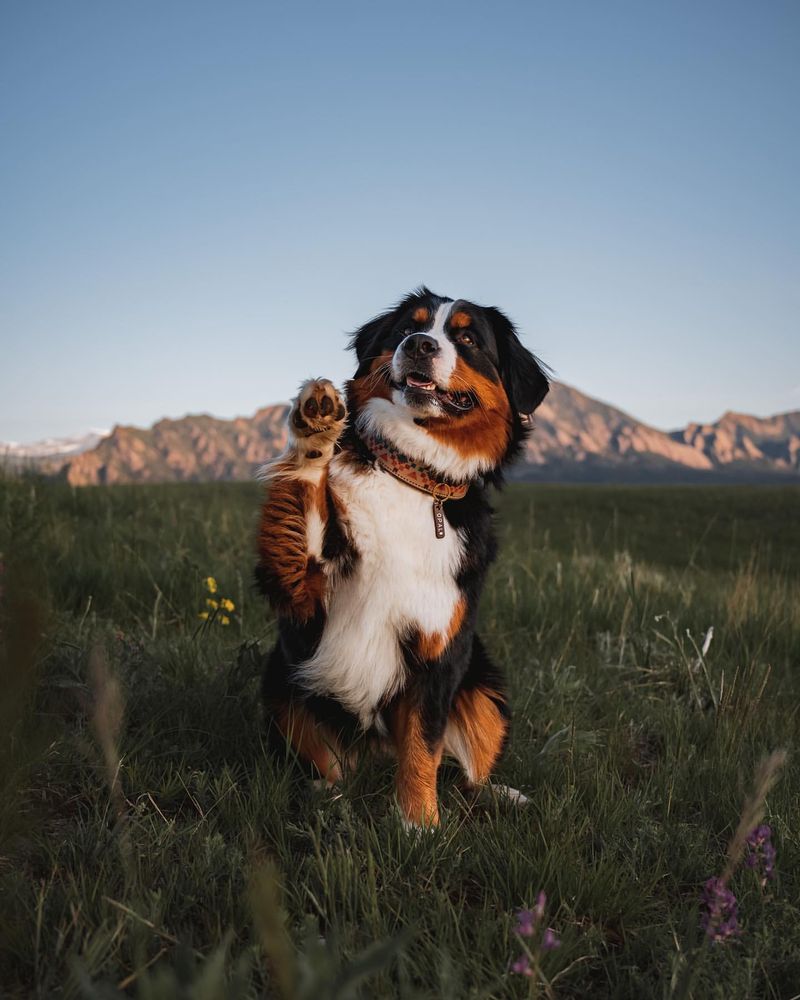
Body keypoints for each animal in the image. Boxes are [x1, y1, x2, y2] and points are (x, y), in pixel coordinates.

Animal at [256, 286, 552, 824]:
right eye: (406, 327)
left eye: (467, 339)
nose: (419, 345)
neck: (413, 478)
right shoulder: (303, 593)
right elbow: (305, 497)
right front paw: (316, 429)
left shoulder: (439, 651)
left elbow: (422, 745)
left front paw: (417, 824)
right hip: (281, 678)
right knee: (331, 766)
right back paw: (324, 795)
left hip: (485, 685)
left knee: (466, 776)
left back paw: (504, 795)